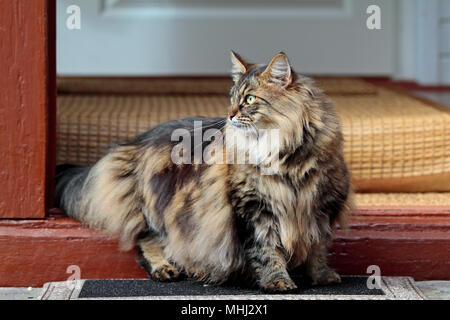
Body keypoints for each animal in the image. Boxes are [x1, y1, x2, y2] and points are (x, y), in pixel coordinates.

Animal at [55, 52, 352, 292]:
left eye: (249, 100)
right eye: (232, 99)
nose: (230, 115)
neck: (286, 157)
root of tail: (137, 140)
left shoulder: (321, 207)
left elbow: (317, 249)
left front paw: (321, 277)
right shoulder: (254, 210)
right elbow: (268, 251)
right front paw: (277, 281)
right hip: (158, 210)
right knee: (145, 240)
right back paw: (165, 269)